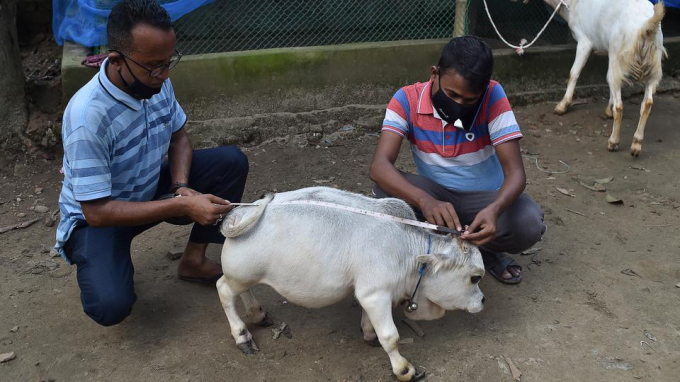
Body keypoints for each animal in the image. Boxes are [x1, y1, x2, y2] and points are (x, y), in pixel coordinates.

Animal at [218, 187, 484, 380]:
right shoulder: (375, 293)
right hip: (240, 274)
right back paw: (242, 335)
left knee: (242, 291)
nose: (482, 300)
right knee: (224, 290)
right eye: (475, 277)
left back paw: (258, 314)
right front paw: (404, 369)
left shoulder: (371, 293)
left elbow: (370, 322)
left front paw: (369, 334)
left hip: (244, 275)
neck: (408, 250)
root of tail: (240, 213)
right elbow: (391, 337)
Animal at [540, 0, 668, 156]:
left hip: (623, 55)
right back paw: (636, 144)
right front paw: (608, 110)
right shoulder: (610, 52)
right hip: (653, 66)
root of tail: (646, 26)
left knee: (620, 104)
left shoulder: (585, 41)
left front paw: (562, 105)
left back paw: (613, 142)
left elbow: (574, 72)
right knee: (647, 103)